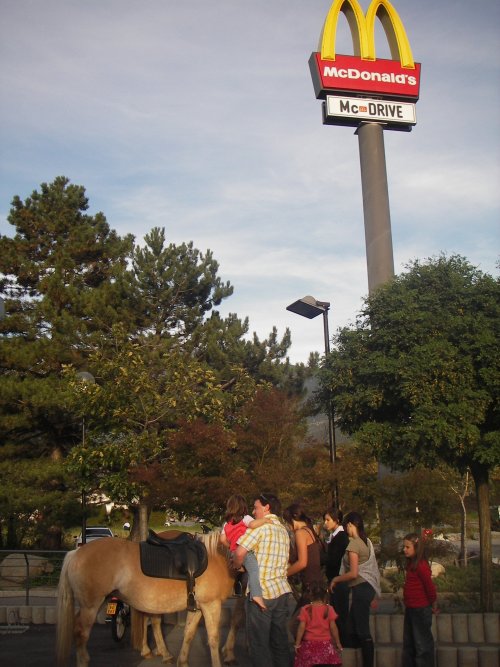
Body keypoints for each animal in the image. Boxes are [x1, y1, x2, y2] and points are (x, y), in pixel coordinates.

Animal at [55, 532, 239, 667]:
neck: (218, 555)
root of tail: (76, 553)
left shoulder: (198, 607)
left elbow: (189, 633)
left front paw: (182, 661)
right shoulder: (211, 605)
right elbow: (213, 639)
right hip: (91, 606)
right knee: (81, 634)